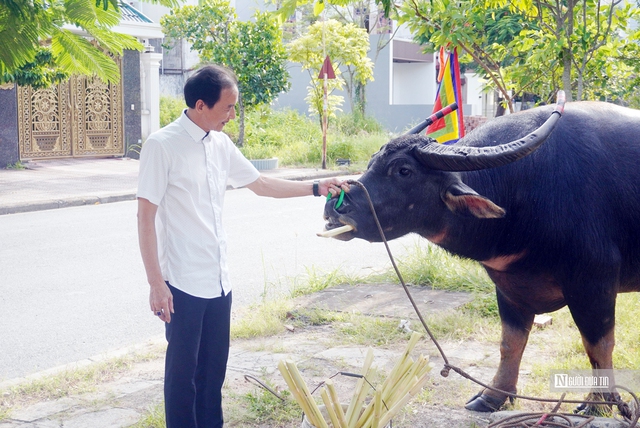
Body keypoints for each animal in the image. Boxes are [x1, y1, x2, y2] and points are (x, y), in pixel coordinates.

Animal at [322, 98, 640, 412]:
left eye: (404, 170)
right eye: (371, 162)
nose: (335, 205)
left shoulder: (593, 284)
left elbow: (598, 347)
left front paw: (598, 404)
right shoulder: (508, 286)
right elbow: (510, 342)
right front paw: (493, 396)